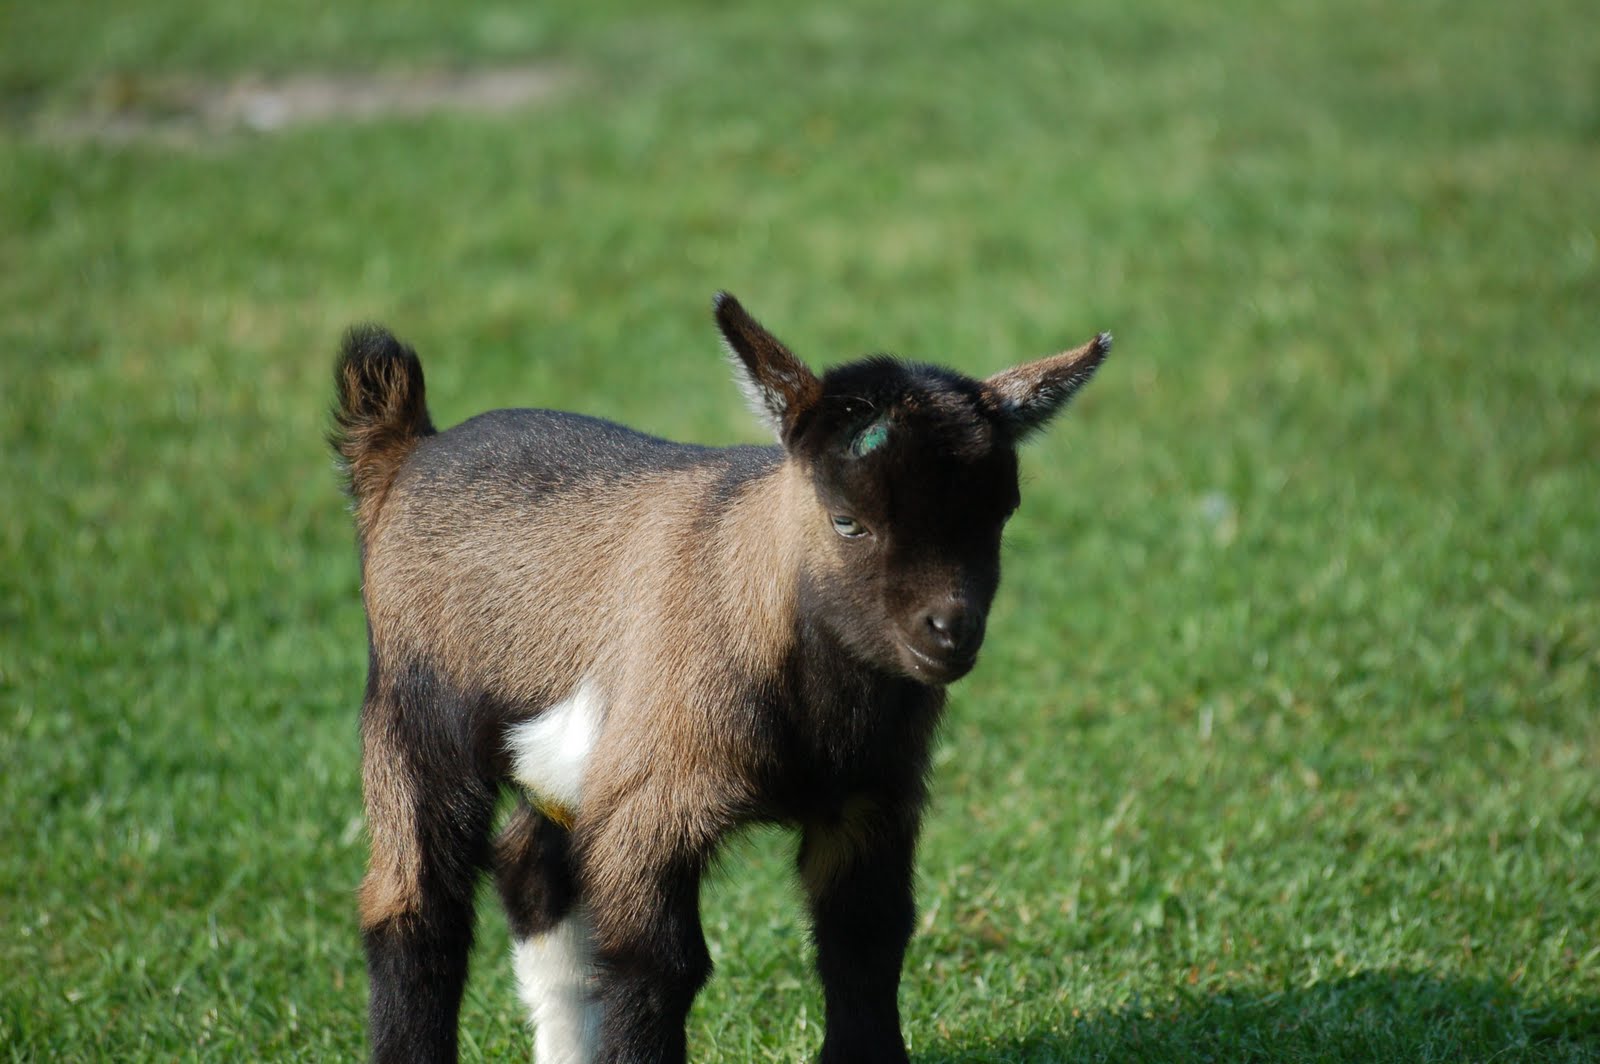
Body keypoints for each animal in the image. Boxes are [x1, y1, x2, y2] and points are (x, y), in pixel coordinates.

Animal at [331, 293, 1112, 1064]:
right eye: (847, 521)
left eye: (1000, 515)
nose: (950, 631)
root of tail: (404, 449)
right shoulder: (652, 800)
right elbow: (656, 965)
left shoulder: (870, 799)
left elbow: (867, 941)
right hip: (411, 715)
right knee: (416, 908)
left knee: (530, 871)